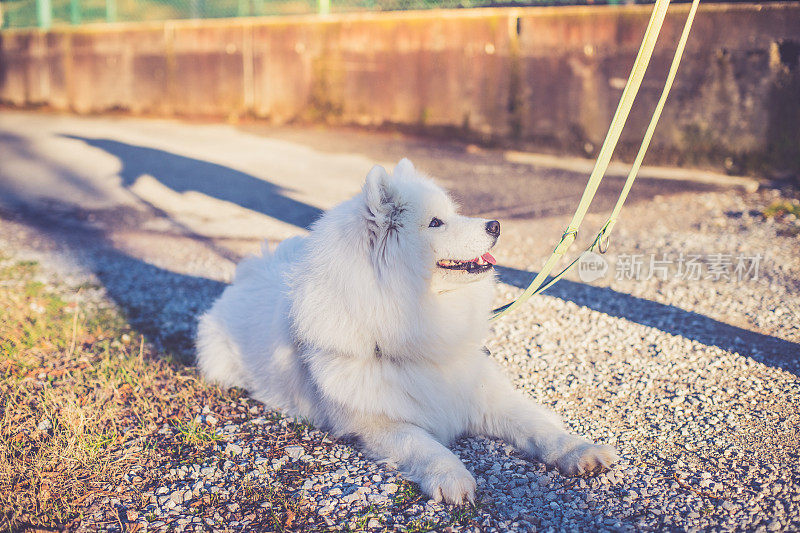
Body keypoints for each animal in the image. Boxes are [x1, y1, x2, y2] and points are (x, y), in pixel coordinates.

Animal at [195, 157, 620, 502]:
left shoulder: (482, 394)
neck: (419, 320)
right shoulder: (379, 423)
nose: (496, 225)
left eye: (451, 213)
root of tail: (251, 271)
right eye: (435, 223)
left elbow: (537, 426)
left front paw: (580, 451)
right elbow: (426, 447)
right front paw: (453, 479)